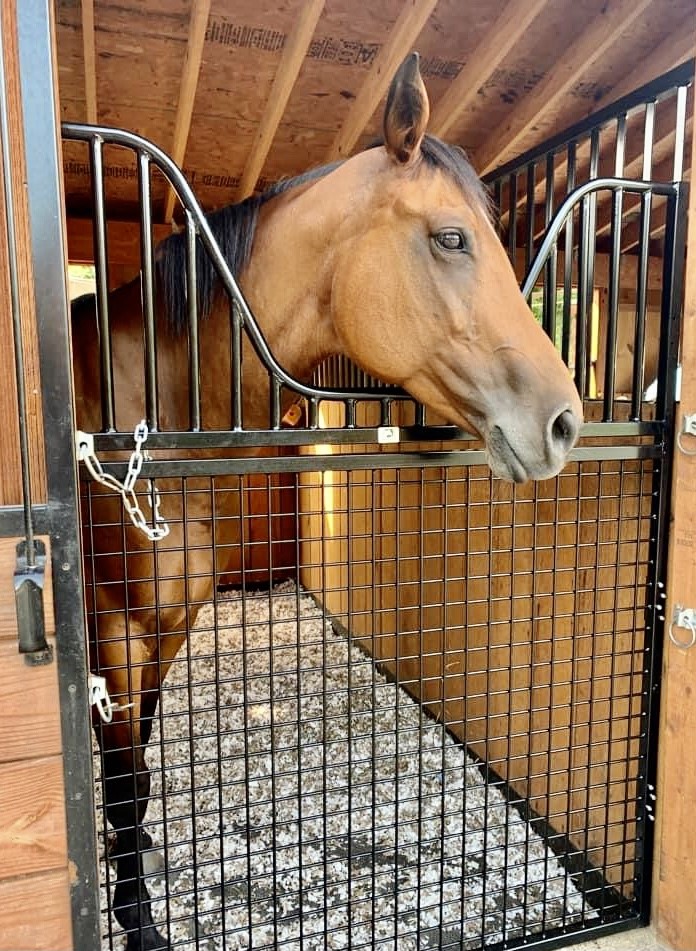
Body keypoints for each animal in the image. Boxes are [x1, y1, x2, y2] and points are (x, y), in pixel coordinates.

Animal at [71, 53, 583, 951]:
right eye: (451, 237)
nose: (565, 420)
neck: (146, 408)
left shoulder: (169, 625)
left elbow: (138, 773)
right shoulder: (118, 629)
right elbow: (125, 775)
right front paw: (137, 921)